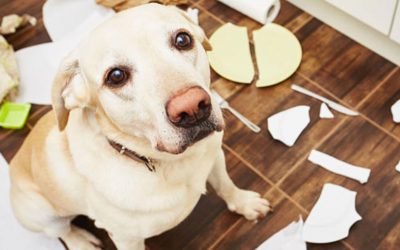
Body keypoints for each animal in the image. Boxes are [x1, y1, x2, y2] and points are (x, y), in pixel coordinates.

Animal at [9, 2, 270, 249]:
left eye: (183, 39)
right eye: (116, 76)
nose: (192, 107)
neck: (171, 162)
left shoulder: (215, 158)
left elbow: (226, 185)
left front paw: (244, 203)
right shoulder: (126, 239)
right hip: (45, 215)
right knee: (61, 232)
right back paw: (80, 241)